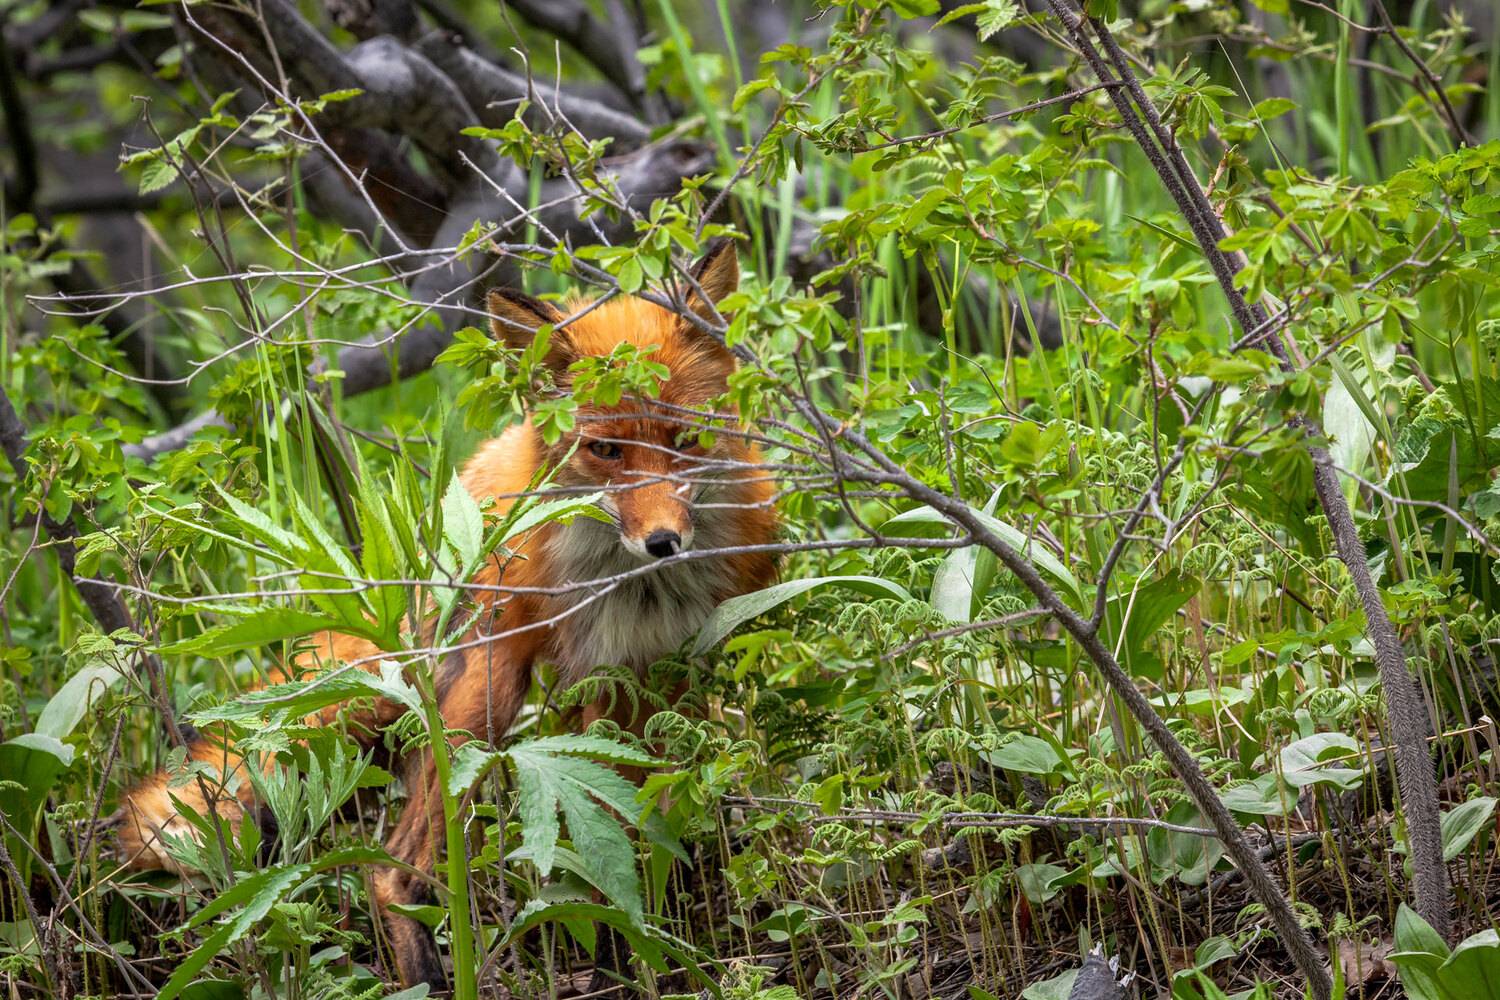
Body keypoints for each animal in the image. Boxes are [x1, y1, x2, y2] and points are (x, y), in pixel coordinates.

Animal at [116, 240, 778, 988]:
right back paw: (430, 974)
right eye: (605, 450)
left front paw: (646, 932)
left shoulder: (658, 673)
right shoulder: (599, 672)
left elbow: (642, 823)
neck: (639, 594)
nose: (664, 541)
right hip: (479, 702)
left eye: (686, 439)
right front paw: (630, 949)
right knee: (393, 869)